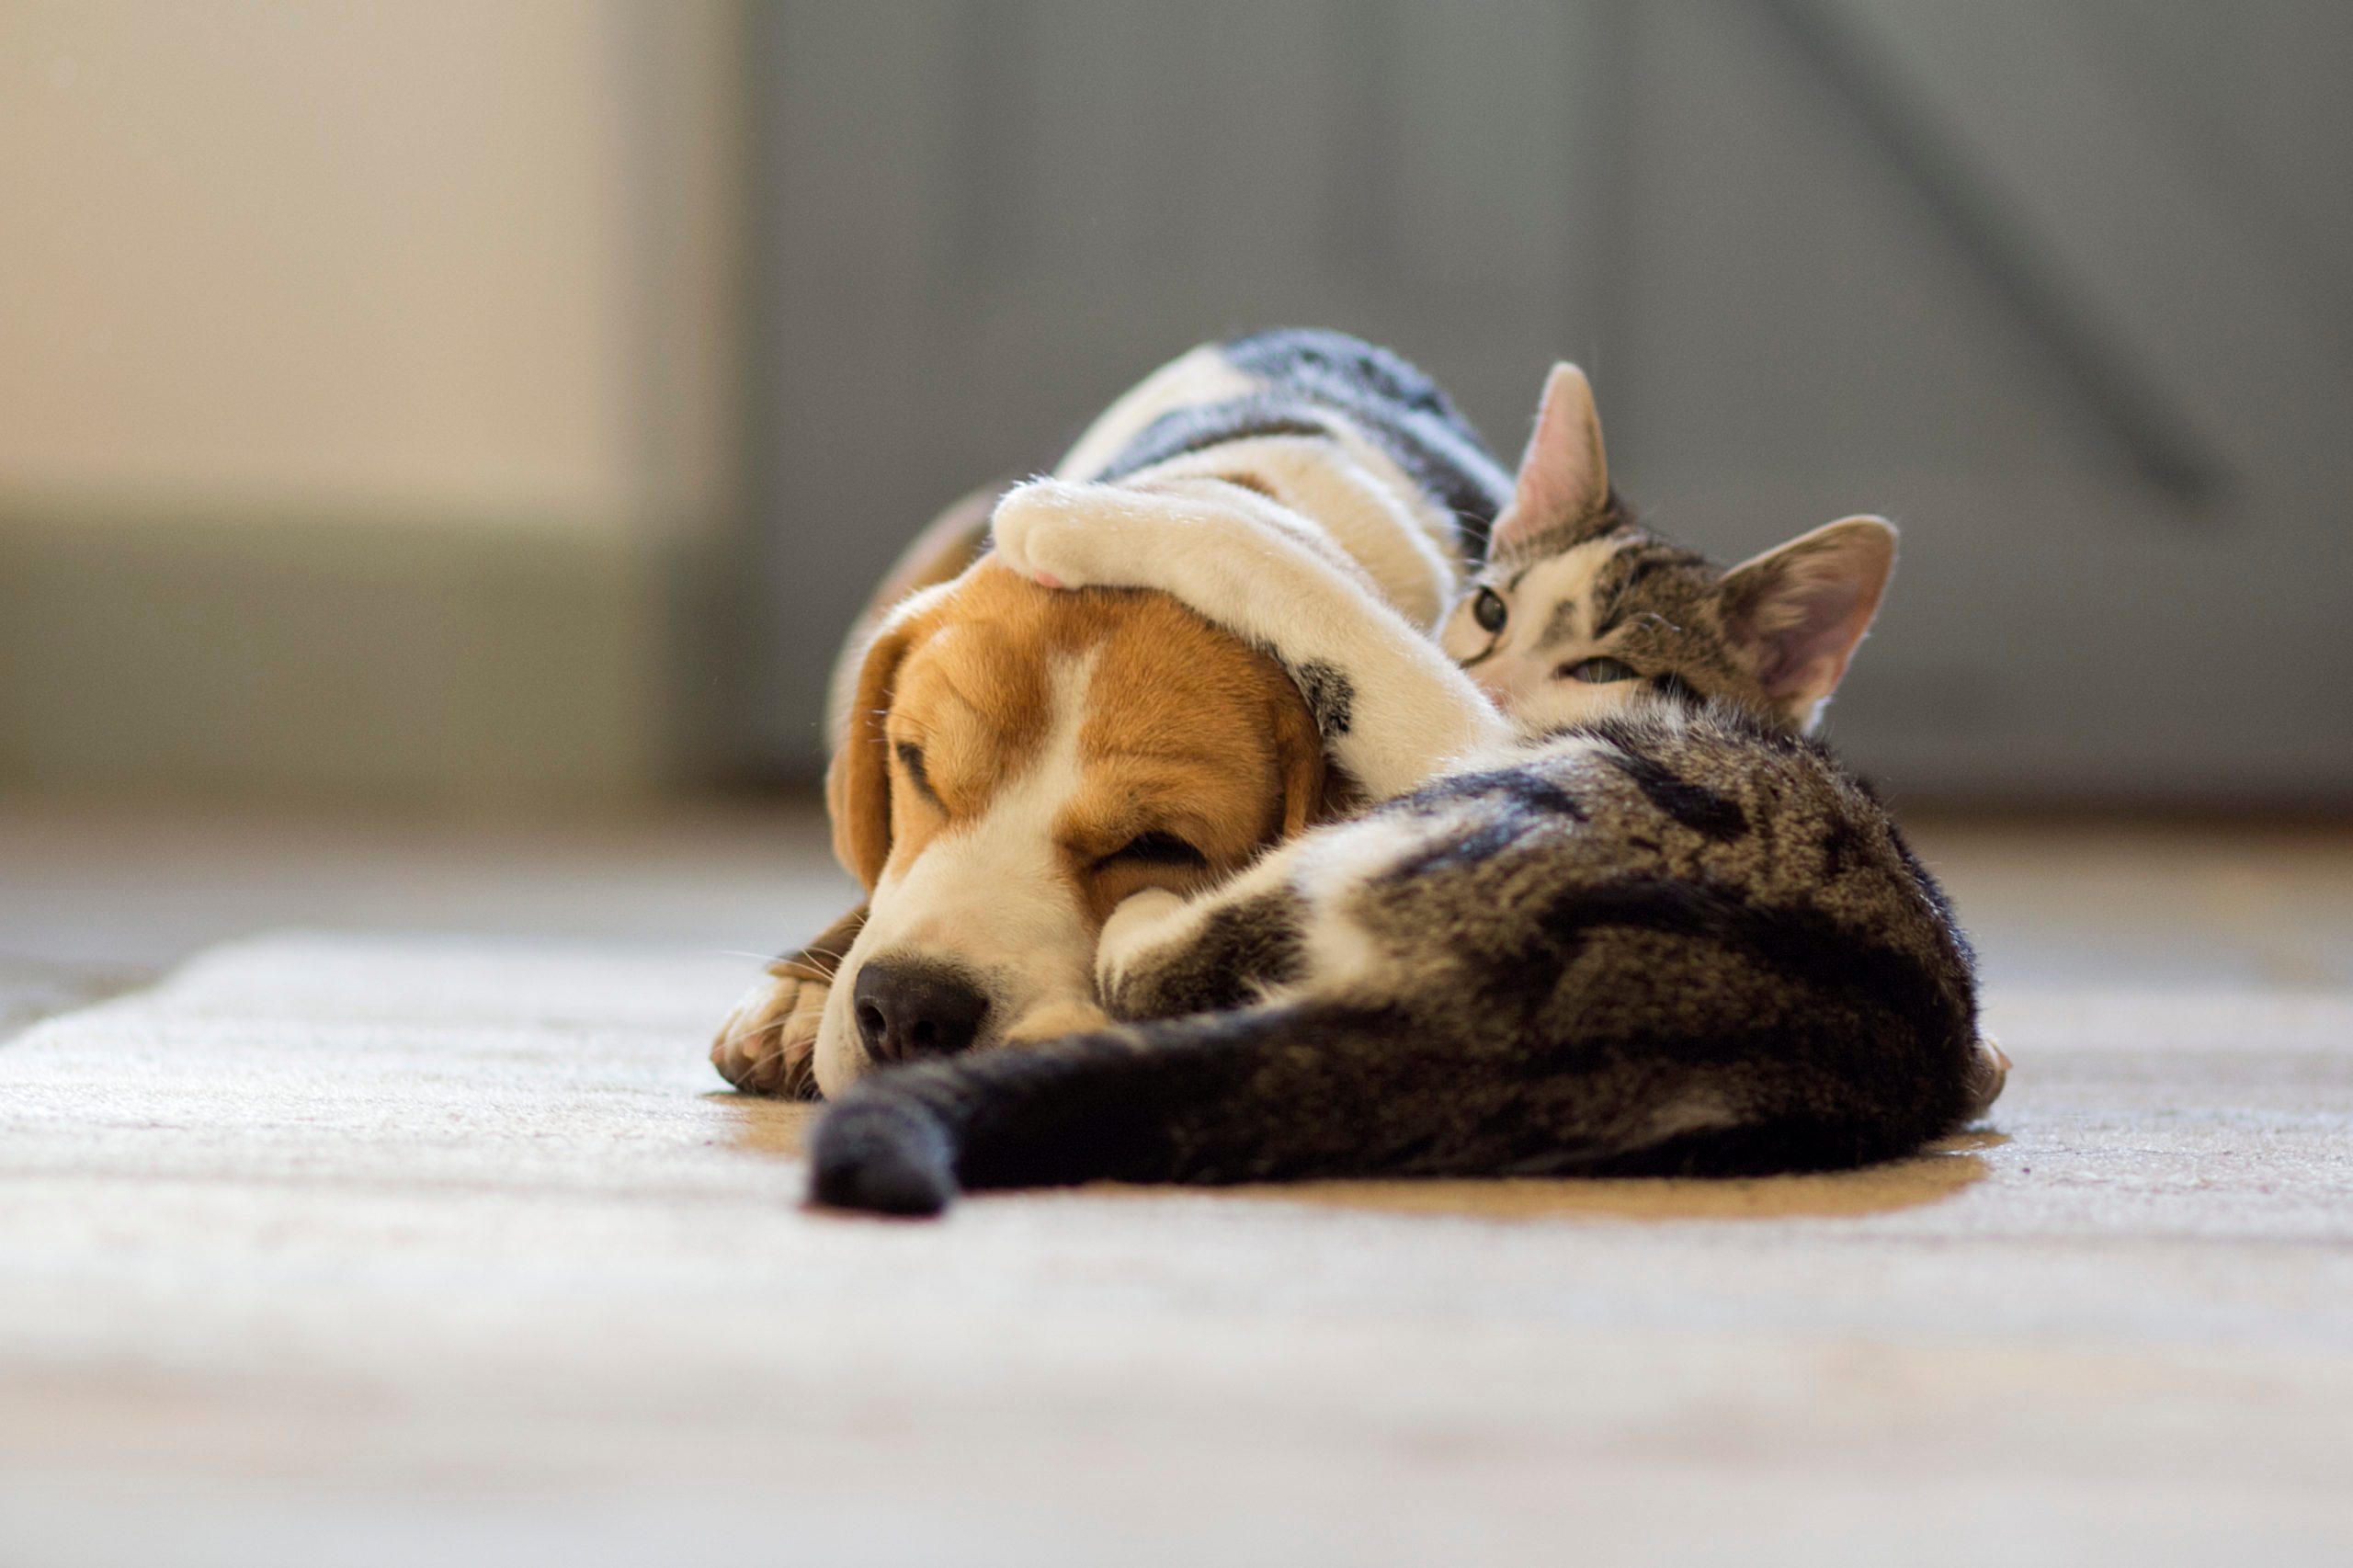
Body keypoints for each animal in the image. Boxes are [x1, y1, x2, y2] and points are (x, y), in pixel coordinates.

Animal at [809, 362, 2005, 1205]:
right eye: (911, 766)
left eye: (1159, 840)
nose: (907, 1012)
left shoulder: (1451, 723)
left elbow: (1299, 587)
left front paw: (1079, 516)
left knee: (1165, 953)